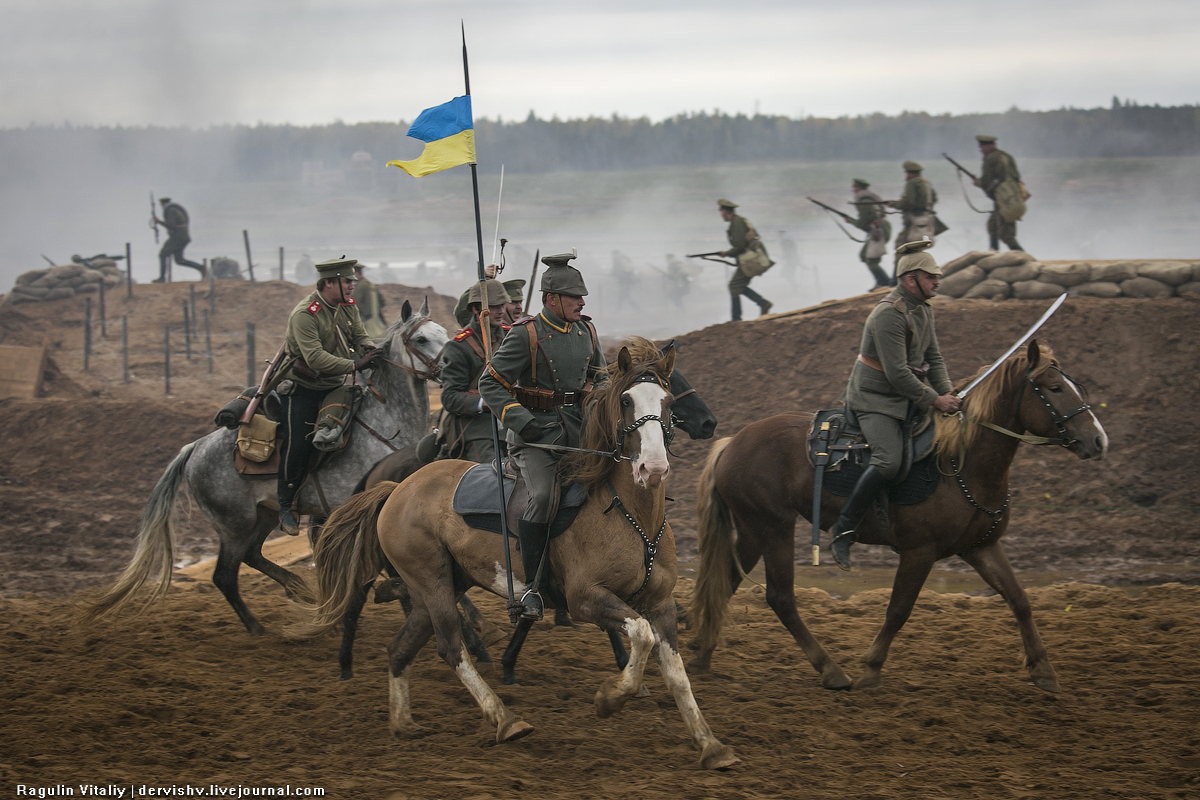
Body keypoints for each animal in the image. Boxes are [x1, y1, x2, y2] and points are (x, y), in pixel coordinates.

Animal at [78, 299, 451, 638]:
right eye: (421, 339)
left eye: (445, 333)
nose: (451, 367)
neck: (386, 423)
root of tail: (195, 448)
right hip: (234, 525)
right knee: (225, 575)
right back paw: (258, 628)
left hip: (264, 514)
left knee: (252, 555)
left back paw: (297, 588)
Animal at [292, 347, 739, 772]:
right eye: (626, 400)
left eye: (666, 400)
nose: (653, 468)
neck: (628, 513)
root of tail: (395, 488)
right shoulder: (587, 599)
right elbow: (640, 637)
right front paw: (611, 696)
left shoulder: (660, 604)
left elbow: (677, 676)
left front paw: (711, 745)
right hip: (433, 586)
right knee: (450, 647)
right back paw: (505, 719)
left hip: (434, 591)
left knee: (400, 649)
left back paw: (403, 723)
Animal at [691, 340, 1108, 690]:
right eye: (1054, 388)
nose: (1099, 440)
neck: (960, 463)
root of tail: (732, 443)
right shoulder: (919, 552)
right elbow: (898, 610)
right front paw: (871, 667)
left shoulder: (982, 547)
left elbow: (1019, 599)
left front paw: (1043, 669)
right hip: (775, 529)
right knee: (781, 598)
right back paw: (830, 669)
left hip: (752, 532)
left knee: (724, 584)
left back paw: (703, 655)